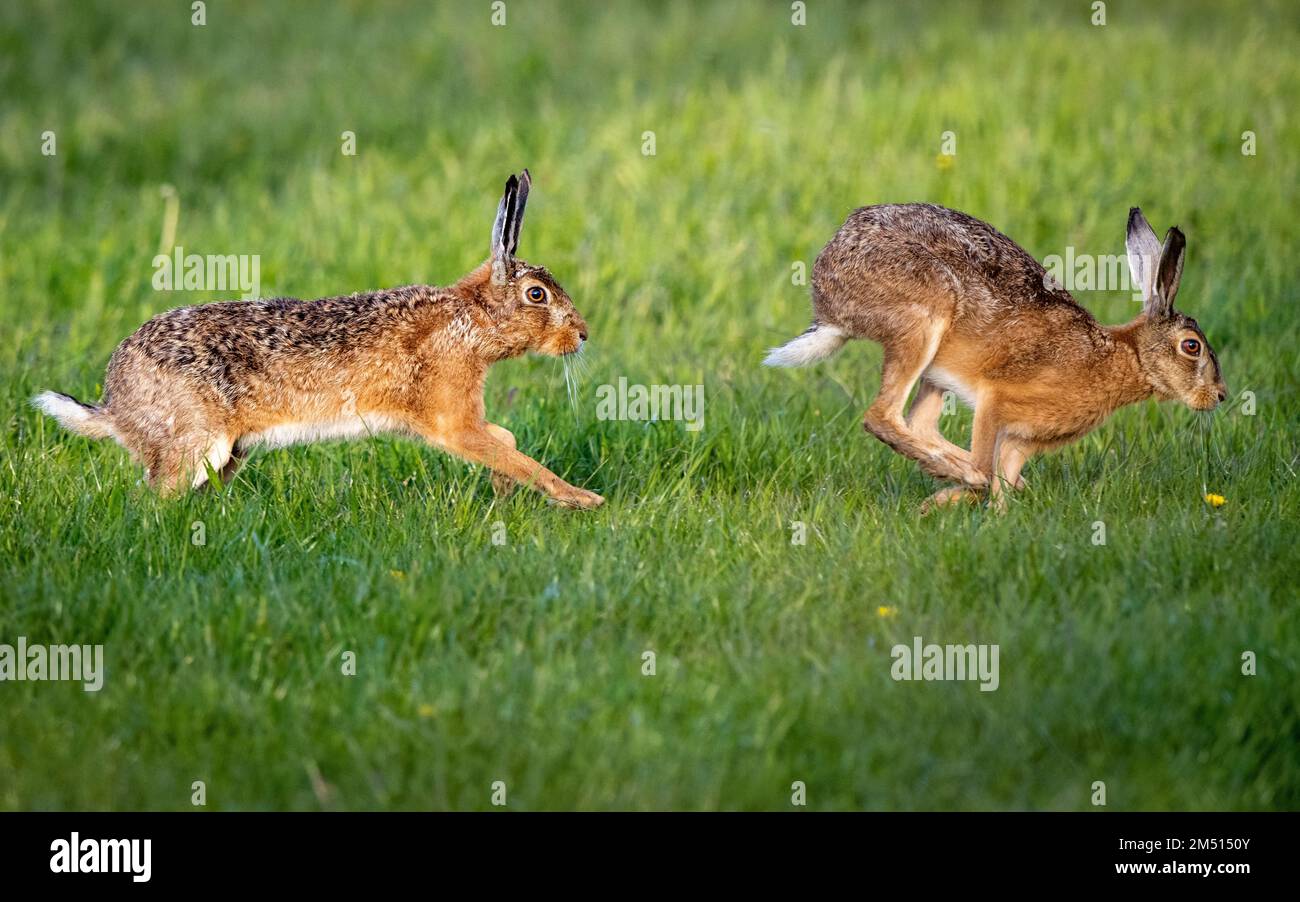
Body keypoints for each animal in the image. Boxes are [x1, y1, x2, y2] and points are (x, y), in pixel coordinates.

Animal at [33, 170, 605, 509]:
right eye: (536, 295)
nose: (582, 334)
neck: (473, 320)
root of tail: (115, 403)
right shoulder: (452, 422)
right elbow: (518, 457)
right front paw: (584, 500)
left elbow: (505, 442)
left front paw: (504, 492)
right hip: (197, 443)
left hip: (227, 454)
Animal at [765, 204, 1226, 511]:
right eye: (1192, 346)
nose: (1220, 396)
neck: (1125, 355)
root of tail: (828, 300)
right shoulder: (996, 402)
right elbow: (990, 458)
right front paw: (965, 497)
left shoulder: (1021, 441)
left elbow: (1004, 474)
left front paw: (998, 507)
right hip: (924, 318)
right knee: (883, 417)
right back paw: (963, 473)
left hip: (935, 367)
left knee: (919, 423)